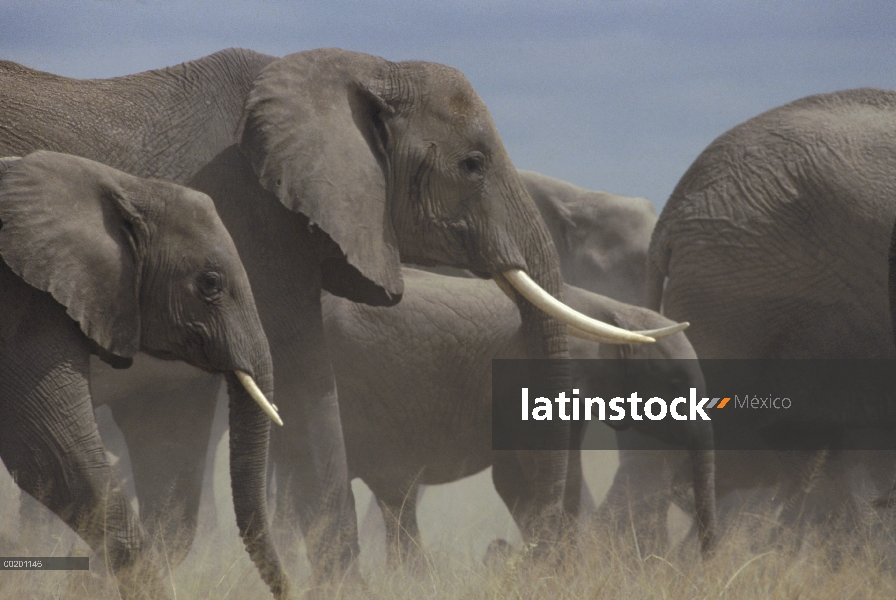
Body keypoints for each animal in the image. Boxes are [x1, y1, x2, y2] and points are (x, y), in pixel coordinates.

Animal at [322, 268, 712, 564]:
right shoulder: (536, 377)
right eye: (676, 383)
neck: (614, 314)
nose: (704, 558)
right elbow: (535, 472)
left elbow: (519, 476)